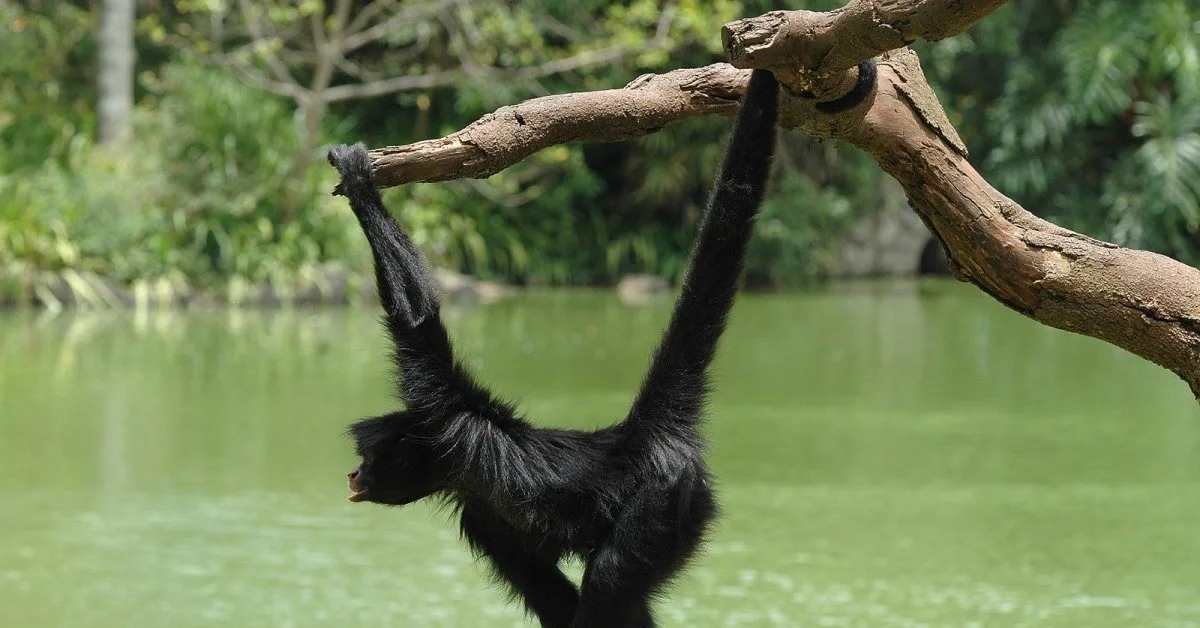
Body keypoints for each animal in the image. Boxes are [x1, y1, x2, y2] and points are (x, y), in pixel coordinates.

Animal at [328, 65, 868, 628]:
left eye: (369, 455)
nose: (355, 472)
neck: (463, 472)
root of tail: (637, 436)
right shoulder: (485, 520)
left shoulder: (447, 413)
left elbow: (417, 321)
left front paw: (362, 184)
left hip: (665, 500)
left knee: (610, 577)